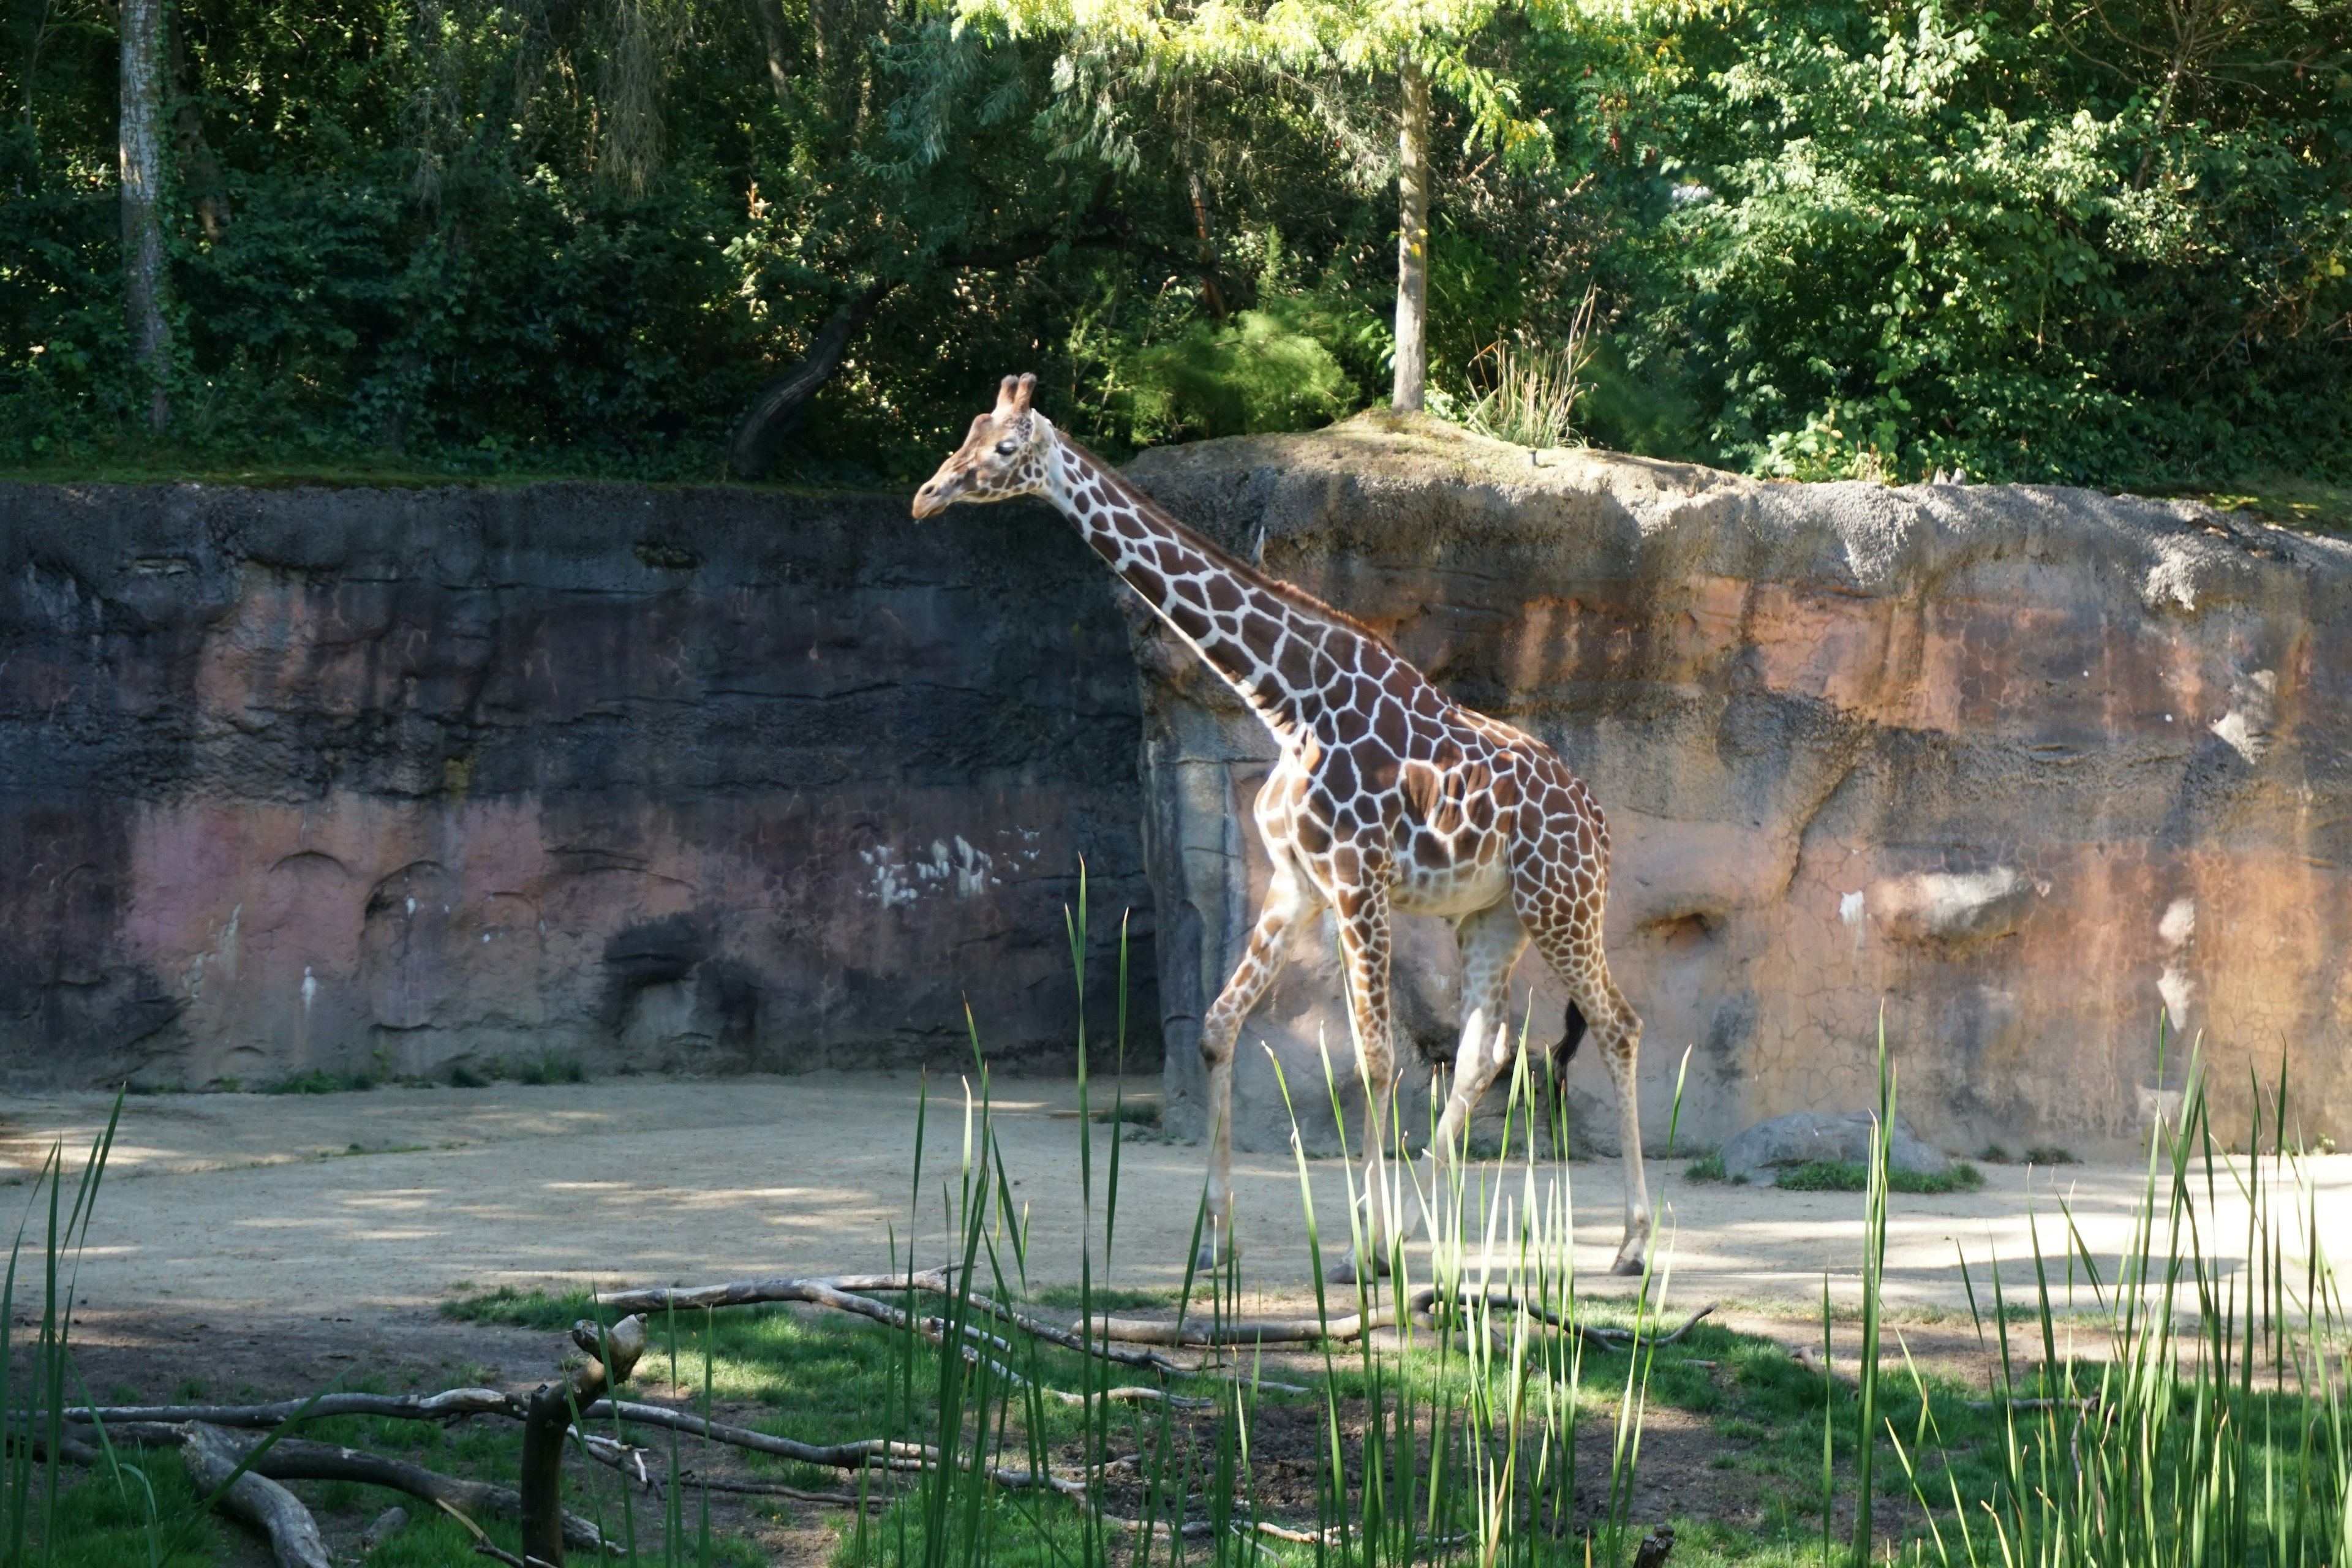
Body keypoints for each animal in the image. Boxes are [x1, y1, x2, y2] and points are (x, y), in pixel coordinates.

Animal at [912, 374, 1656, 1278]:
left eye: (1007, 447)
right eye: (969, 432)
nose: (926, 494)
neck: (1287, 702)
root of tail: (1600, 822)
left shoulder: (1358, 881)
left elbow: (1374, 1061)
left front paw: (1358, 1248)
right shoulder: (1298, 884)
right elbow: (1218, 1029)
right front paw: (1218, 1240)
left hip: (1562, 905)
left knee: (1617, 1026)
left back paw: (1629, 1244)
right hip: (1494, 916)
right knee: (1484, 1051)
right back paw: (1420, 1230)